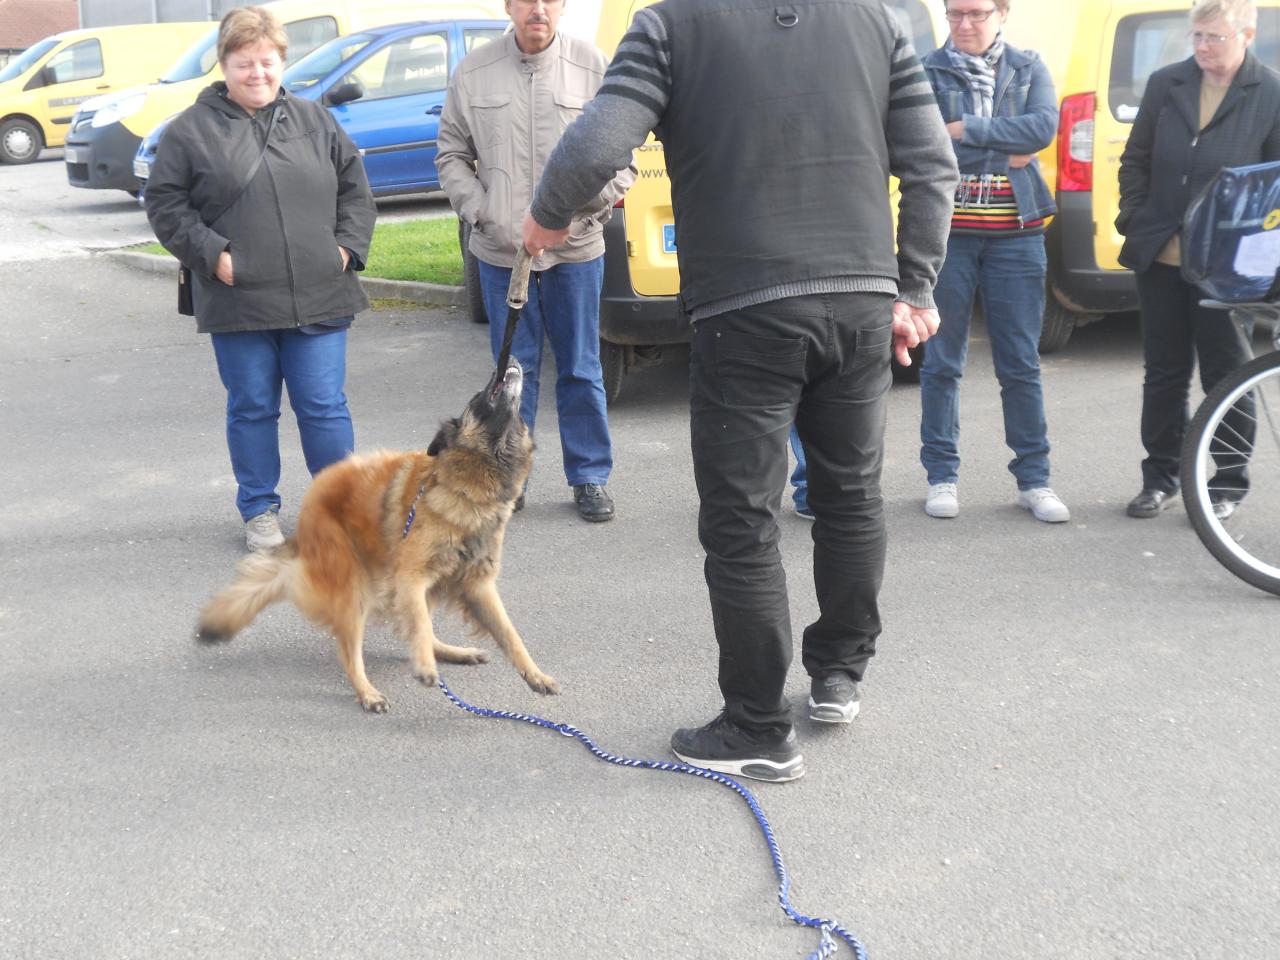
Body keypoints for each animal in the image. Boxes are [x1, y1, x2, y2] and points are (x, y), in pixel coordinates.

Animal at [194, 363, 555, 716]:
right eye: (478, 396)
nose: (505, 364)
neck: (467, 486)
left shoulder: (476, 584)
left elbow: (509, 634)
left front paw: (536, 675)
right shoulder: (410, 577)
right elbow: (419, 624)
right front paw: (424, 667)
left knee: (416, 628)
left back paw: (451, 652)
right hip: (354, 584)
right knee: (352, 648)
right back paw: (368, 691)